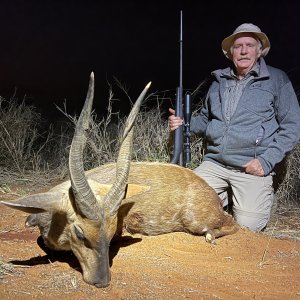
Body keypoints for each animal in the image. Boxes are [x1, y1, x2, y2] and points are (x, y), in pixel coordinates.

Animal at [0, 73, 239, 288]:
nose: (101, 281)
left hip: (196, 221)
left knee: (231, 223)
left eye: (110, 234)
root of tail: (212, 194)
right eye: (80, 233)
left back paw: (211, 236)